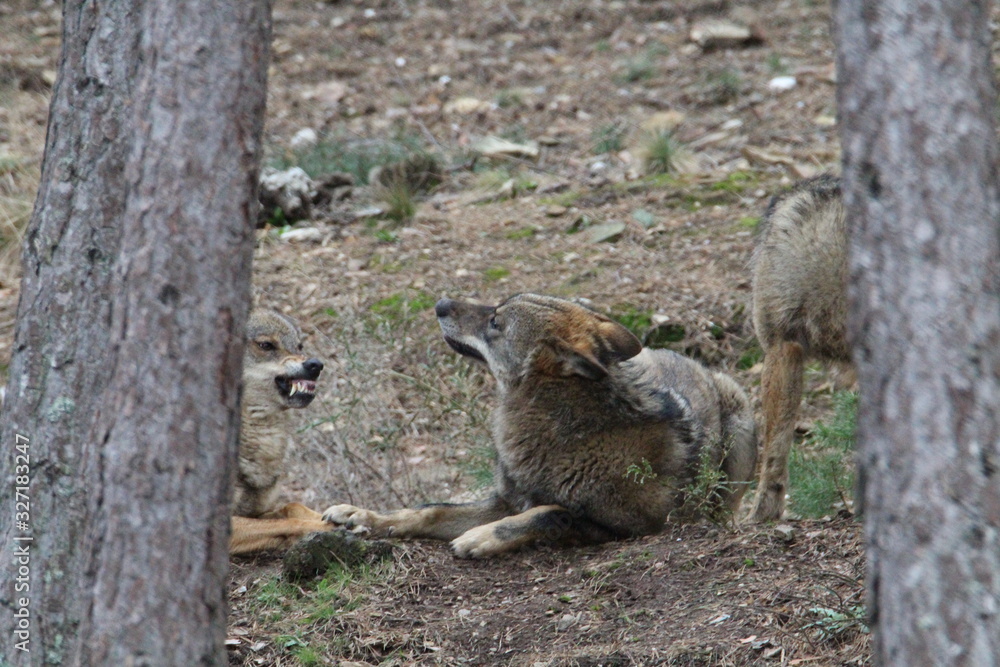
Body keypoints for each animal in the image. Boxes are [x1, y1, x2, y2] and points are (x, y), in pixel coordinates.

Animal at [229, 309, 331, 555]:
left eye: (299, 346)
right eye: (266, 345)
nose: (316, 364)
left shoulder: (257, 511)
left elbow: (293, 506)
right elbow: (290, 522)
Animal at [323, 293, 757, 558]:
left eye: (495, 321)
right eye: (494, 308)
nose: (440, 303)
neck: (564, 435)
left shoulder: (634, 526)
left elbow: (549, 513)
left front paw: (482, 537)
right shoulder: (506, 499)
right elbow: (429, 509)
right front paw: (365, 516)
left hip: (740, 420)